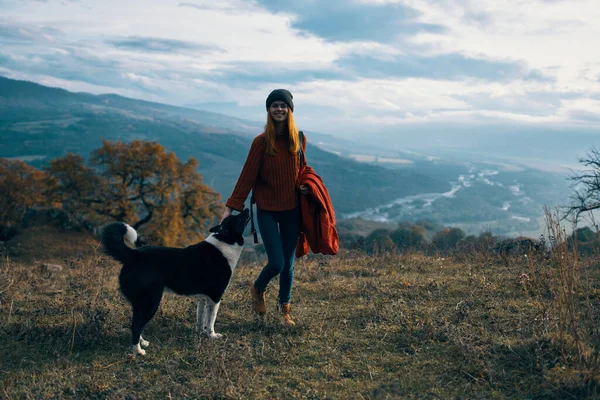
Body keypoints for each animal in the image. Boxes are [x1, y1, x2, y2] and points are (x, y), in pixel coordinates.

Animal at [100, 211, 248, 354]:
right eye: (237, 218)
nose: (246, 210)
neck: (225, 241)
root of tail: (133, 255)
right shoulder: (215, 296)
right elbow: (211, 319)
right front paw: (212, 336)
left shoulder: (203, 297)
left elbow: (201, 318)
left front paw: (200, 333)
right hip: (150, 302)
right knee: (136, 325)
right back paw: (138, 351)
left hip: (140, 303)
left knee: (136, 323)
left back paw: (143, 343)